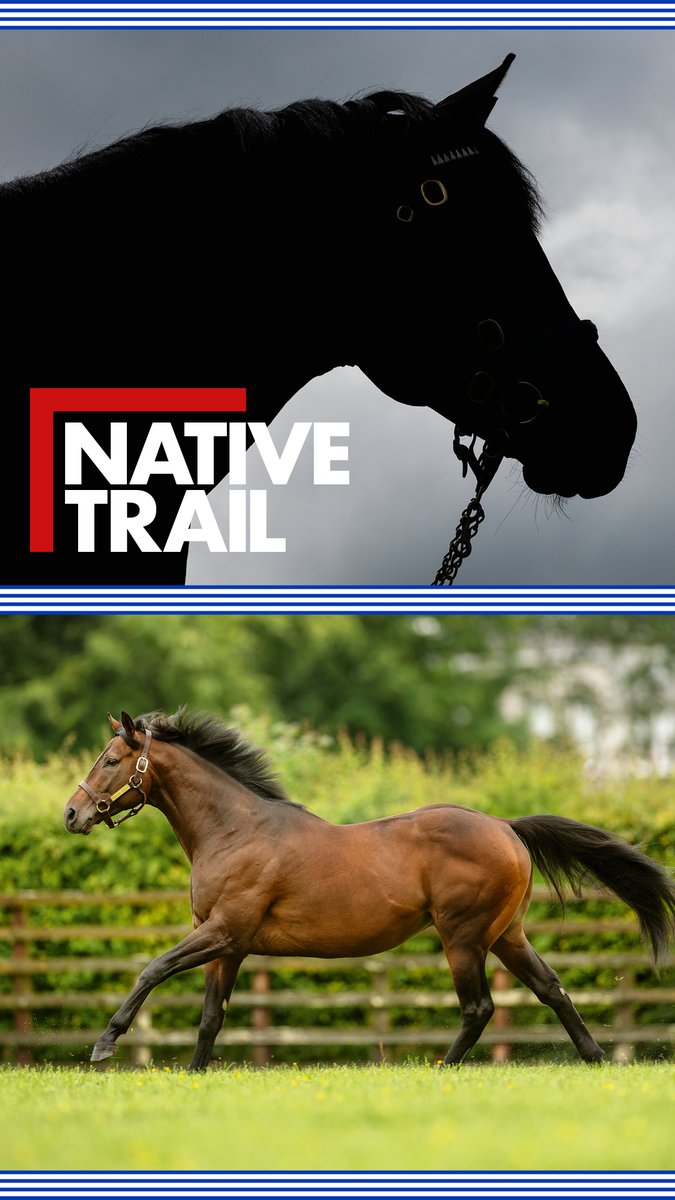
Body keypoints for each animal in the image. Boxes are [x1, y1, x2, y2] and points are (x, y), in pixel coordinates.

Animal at [64, 708, 674, 1069]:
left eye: (111, 760)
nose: (71, 814)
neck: (234, 829)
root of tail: (506, 827)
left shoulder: (223, 931)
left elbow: (153, 969)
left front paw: (103, 1046)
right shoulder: (228, 945)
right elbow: (211, 1017)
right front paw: (193, 1076)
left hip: (463, 937)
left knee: (478, 1007)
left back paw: (442, 1068)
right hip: (507, 935)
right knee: (552, 989)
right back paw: (596, 1059)